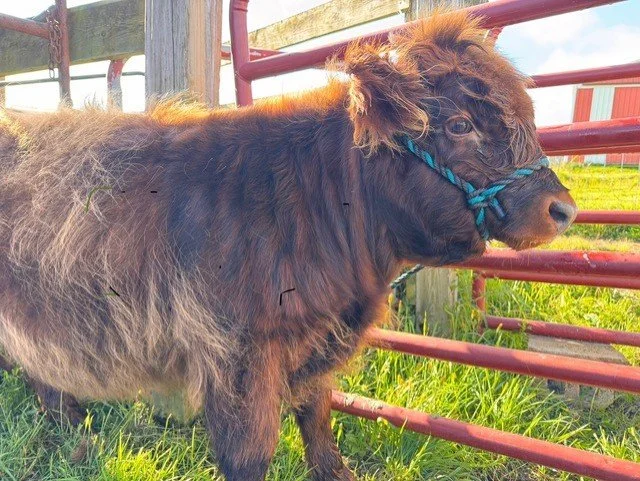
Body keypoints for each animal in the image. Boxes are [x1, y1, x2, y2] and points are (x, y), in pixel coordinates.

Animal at [0, 11, 576, 481]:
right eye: (460, 124)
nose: (563, 209)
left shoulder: (317, 342)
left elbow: (318, 418)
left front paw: (335, 471)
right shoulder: (238, 353)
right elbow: (251, 452)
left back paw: (75, 428)